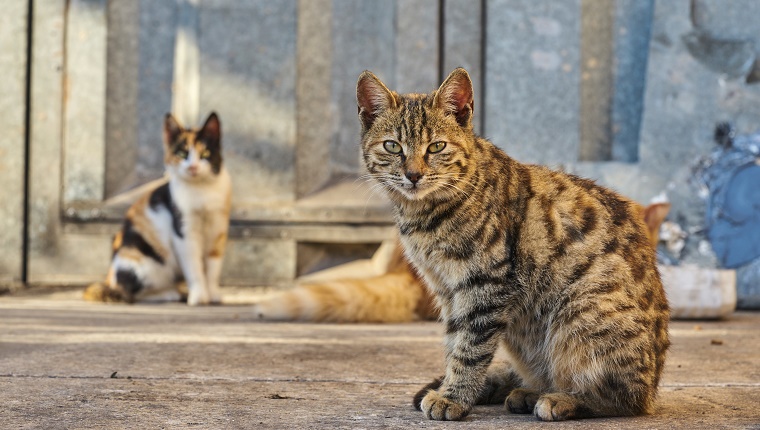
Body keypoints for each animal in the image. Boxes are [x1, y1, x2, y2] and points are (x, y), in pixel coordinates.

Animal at [84, 111, 232, 306]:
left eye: (205, 153)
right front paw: (199, 296)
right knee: (132, 293)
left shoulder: (218, 230)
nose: (193, 167)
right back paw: (171, 293)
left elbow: (213, 268)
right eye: (182, 153)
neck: (202, 190)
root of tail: (109, 279)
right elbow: (194, 267)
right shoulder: (184, 232)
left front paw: (213, 294)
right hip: (145, 261)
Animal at [356, 69, 672, 422]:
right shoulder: (447, 290)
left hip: (583, 311)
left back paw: (561, 399)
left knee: (624, 398)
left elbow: (469, 348)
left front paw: (454, 397)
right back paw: (529, 391)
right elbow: (453, 343)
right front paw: (453, 389)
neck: (425, 215)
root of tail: (654, 385)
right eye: (392, 146)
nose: (413, 174)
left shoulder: (484, 284)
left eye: (436, 147)